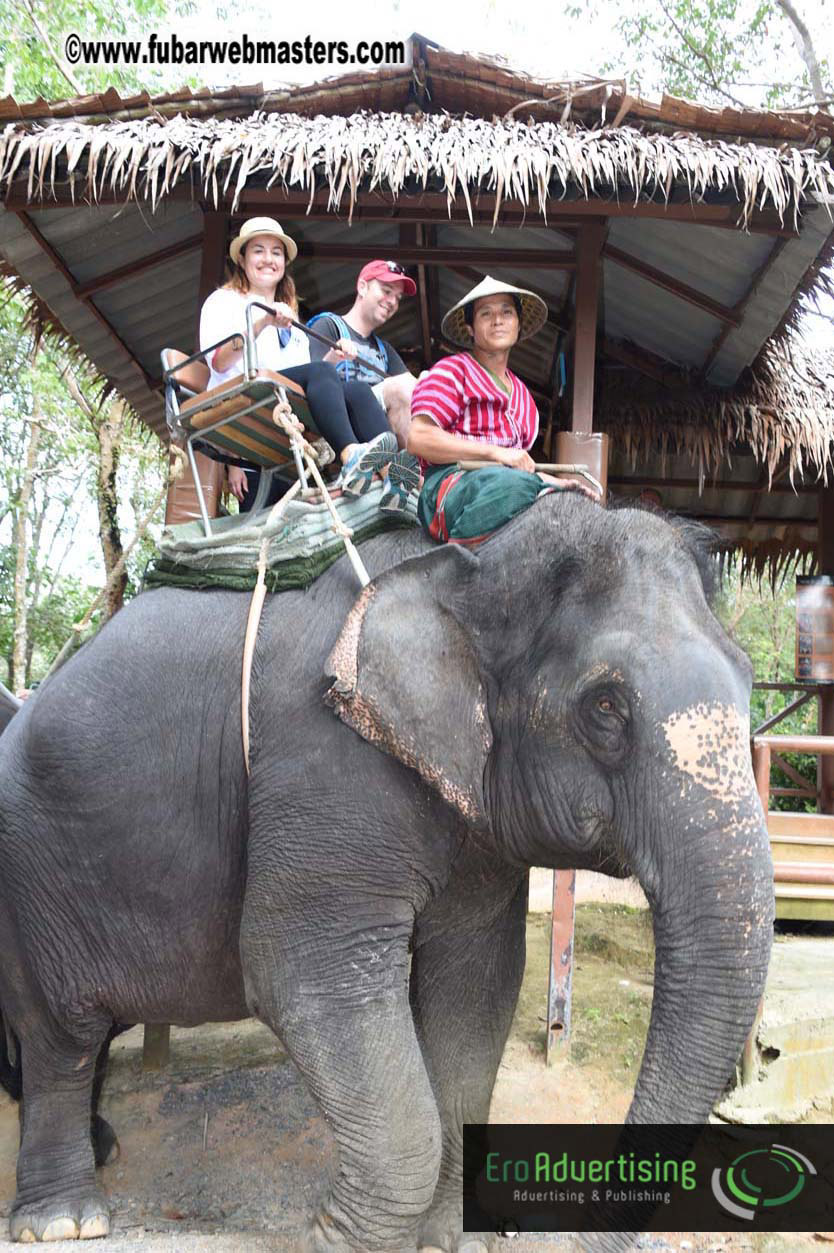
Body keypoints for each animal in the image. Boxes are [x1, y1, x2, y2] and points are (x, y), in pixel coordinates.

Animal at [0, 492, 774, 1251]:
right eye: (605, 705)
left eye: (748, 681)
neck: (477, 559)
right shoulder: (320, 761)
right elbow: (302, 972)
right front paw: (329, 1236)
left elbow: (477, 983)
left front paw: (446, 1240)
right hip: (35, 875)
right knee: (60, 1037)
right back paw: (65, 1221)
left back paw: (98, 1156)